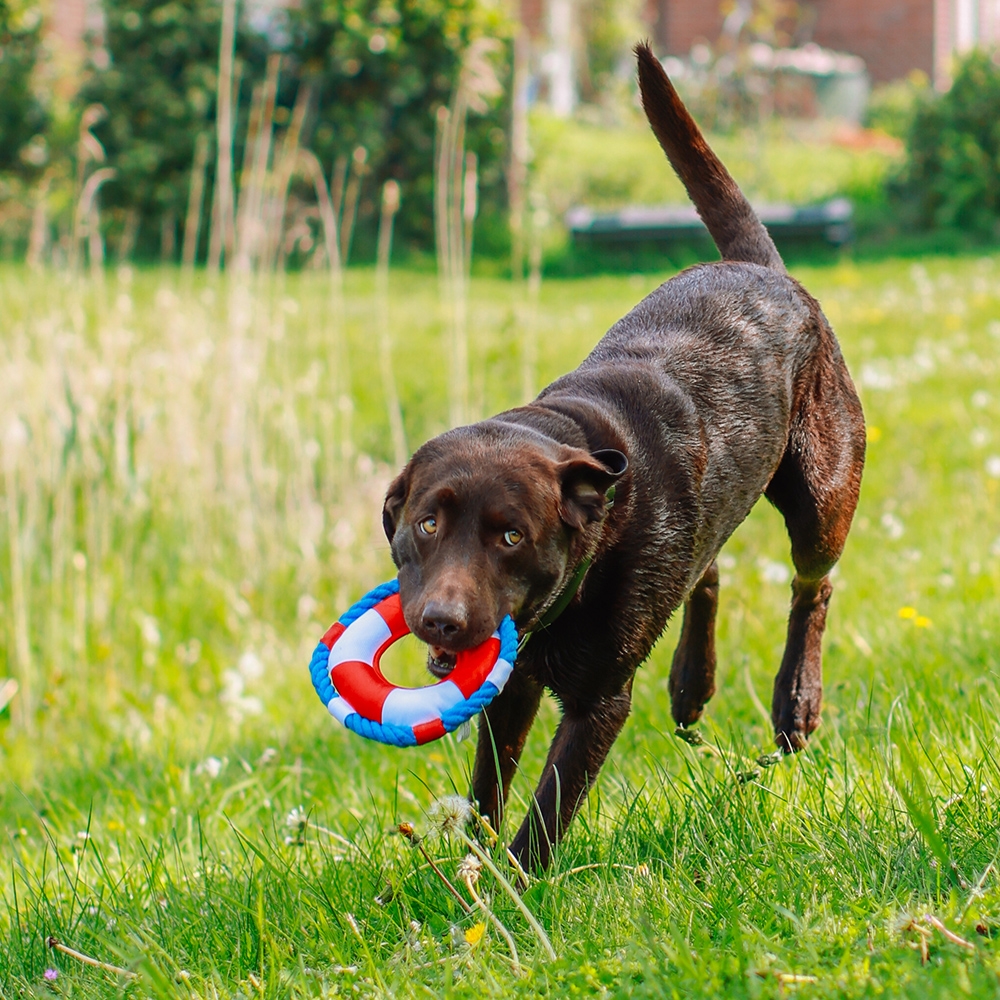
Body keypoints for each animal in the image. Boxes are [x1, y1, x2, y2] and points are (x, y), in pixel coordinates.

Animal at [382, 43, 868, 868]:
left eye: (511, 535)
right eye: (426, 524)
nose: (442, 622)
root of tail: (765, 267)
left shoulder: (599, 700)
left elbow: (548, 808)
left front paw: (515, 884)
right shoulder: (511, 682)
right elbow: (488, 785)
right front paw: (471, 865)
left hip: (822, 489)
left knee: (814, 583)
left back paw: (795, 703)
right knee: (709, 568)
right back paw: (692, 684)